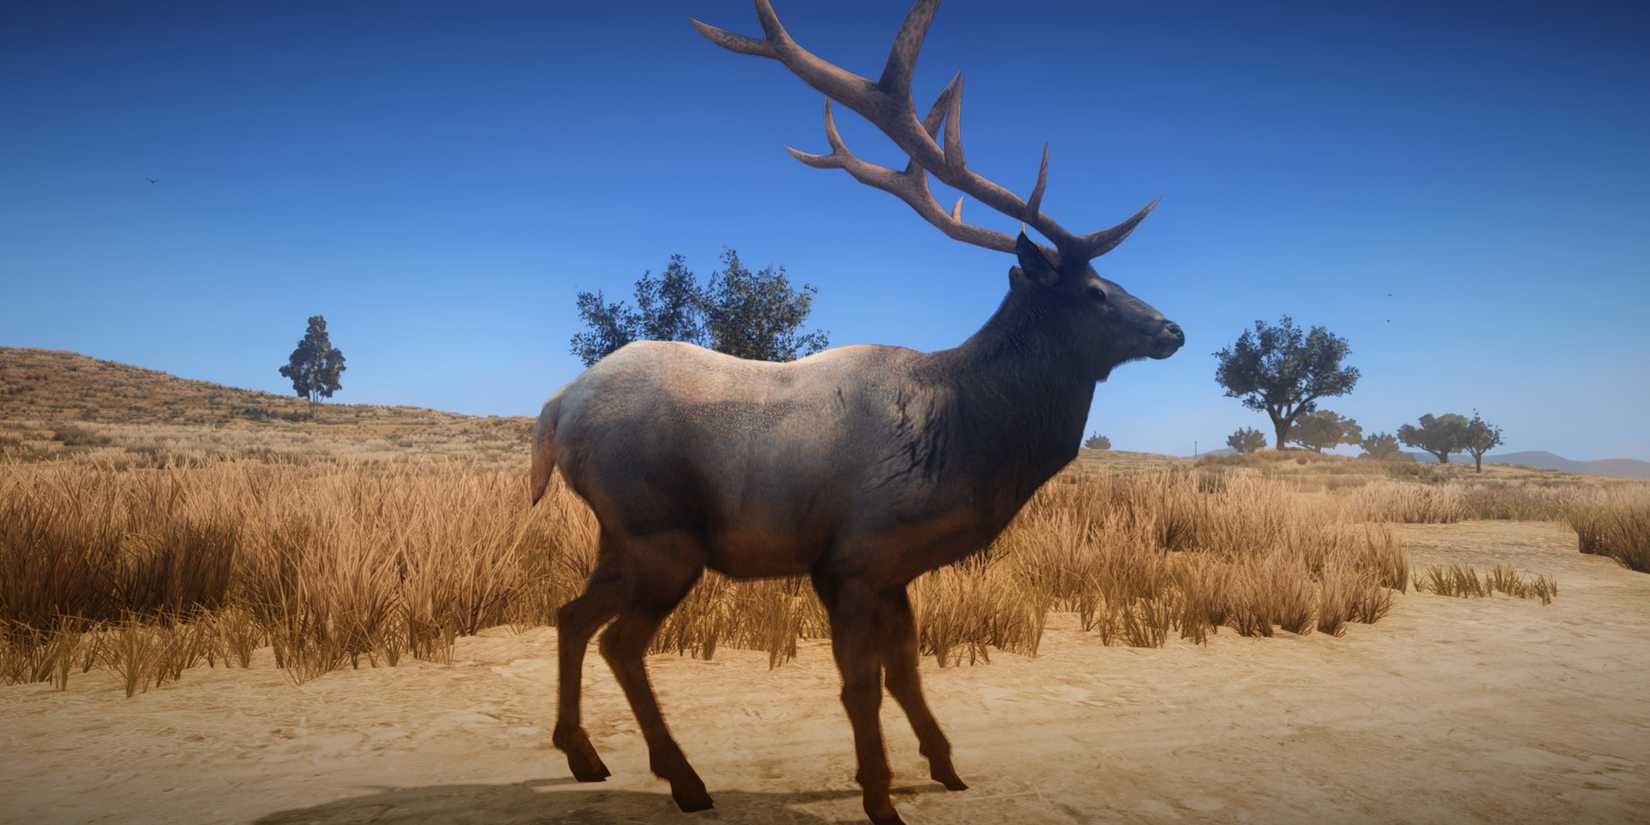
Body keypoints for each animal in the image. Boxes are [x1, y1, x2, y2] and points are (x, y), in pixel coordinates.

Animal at [528, 2, 1184, 823]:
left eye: (1115, 282)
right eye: (1095, 292)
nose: (1173, 330)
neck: (964, 441)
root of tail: (556, 409)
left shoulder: (897, 568)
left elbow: (907, 671)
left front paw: (946, 768)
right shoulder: (852, 557)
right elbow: (861, 684)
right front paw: (880, 795)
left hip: (620, 536)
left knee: (570, 614)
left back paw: (584, 756)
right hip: (661, 531)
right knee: (620, 639)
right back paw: (684, 779)